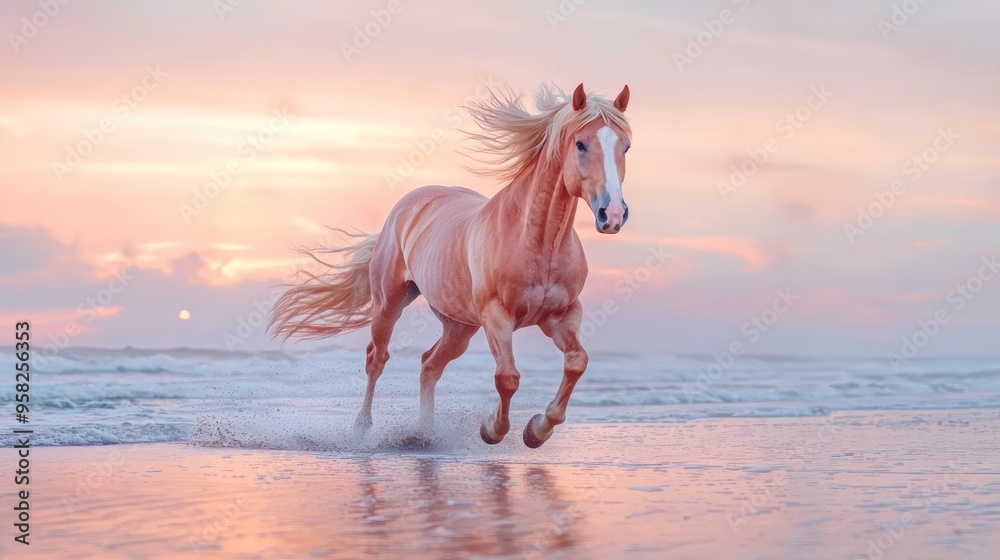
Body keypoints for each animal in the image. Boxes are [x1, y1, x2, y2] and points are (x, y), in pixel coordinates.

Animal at [269, 83, 632, 448]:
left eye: (626, 146)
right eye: (581, 144)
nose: (613, 215)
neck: (539, 241)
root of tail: (410, 205)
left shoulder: (563, 314)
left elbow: (576, 363)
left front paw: (537, 430)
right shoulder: (497, 317)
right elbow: (508, 377)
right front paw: (492, 429)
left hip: (459, 327)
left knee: (429, 365)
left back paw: (424, 434)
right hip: (389, 305)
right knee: (377, 359)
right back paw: (362, 428)